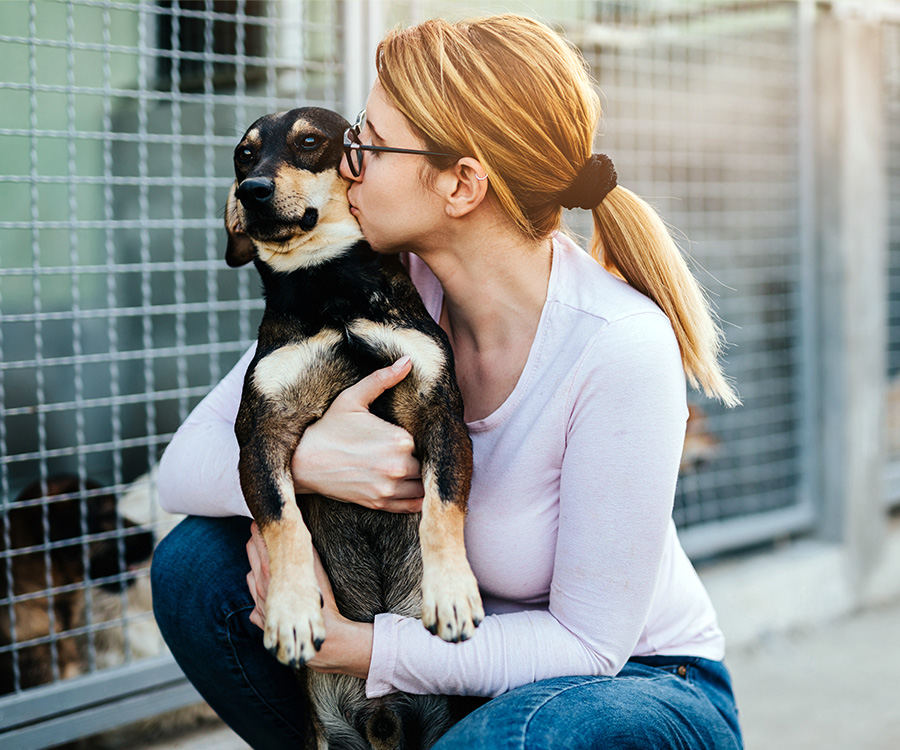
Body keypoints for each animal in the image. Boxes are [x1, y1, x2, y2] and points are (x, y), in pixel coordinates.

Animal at [225, 108, 486, 748]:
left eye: (310, 141)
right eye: (244, 155)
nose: (251, 191)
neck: (330, 289)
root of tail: (381, 717)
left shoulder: (442, 415)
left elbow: (443, 509)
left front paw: (451, 592)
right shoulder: (259, 437)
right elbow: (283, 522)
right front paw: (293, 609)